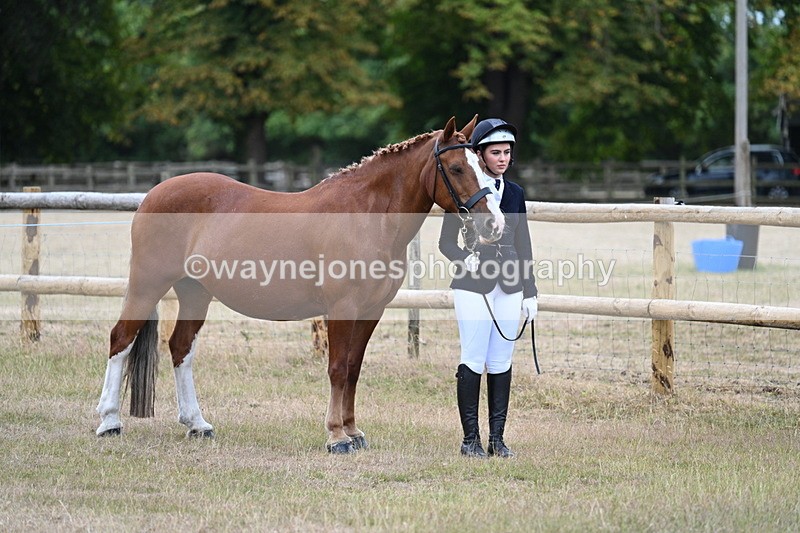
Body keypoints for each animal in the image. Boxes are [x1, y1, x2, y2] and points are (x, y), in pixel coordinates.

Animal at [95, 116, 506, 454]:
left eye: (484, 167)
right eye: (456, 167)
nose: (493, 224)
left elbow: (354, 369)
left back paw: (197, 424)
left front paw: (354, 433)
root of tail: (154, 193)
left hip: (195, 292)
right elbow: (338, 368)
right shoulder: (342, 309)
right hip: (148, 283)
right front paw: (337, 437)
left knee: (180, 348)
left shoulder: (371, 311)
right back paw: (109, 421)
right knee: (121, 338)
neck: (366, 215)